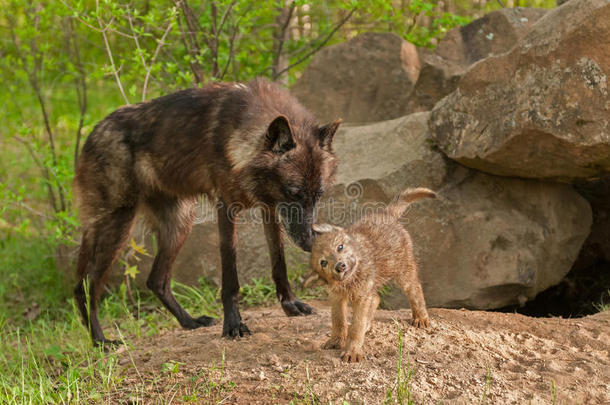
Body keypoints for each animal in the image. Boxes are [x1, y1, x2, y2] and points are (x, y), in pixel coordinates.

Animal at [73, 78, 340, 344]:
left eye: (318, 195)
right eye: (293, 193)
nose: (310, 242)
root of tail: (92, 133)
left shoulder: (270, 210)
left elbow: (279, 262)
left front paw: (290, 304)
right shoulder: (227, 209)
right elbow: (230, 278)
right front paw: (233, 324)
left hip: (179, 225)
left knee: (156, 281)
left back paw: (189, 322)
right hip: (119, 226)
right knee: (85, 286)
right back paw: (100, 340)